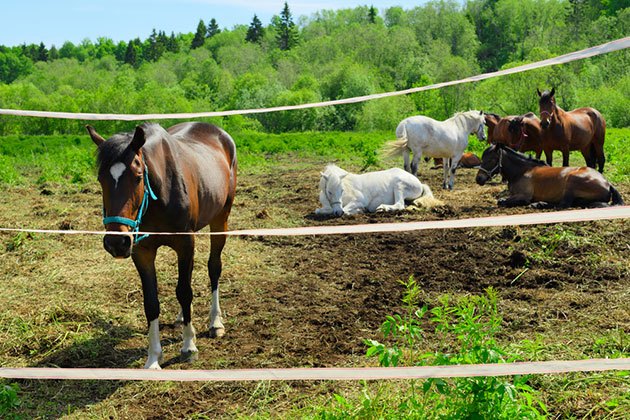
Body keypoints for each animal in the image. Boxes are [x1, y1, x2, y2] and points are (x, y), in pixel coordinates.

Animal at [87, 122, 238, 370]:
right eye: (101, 178)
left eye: (138, 176)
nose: (116, 242)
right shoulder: (142, 252)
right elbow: (151, 302)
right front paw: (153, 359)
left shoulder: (185, 244)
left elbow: (185, 292)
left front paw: (189, 346)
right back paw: (182, 317)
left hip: (220, 219)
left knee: (214, 267)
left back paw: (215, 322)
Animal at [316, 164, 444, 217]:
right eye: (329, 191)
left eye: (342, 190)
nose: (338, 212)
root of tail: (419, 183)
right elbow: (318, 211)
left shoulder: (359, 201)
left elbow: (347, 210)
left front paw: (359, 211)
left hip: (399, 185)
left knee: (399, 204)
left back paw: (382, 208)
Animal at [476, 144, 624, 208]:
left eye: (491, 160)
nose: (479, 179)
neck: (522, 171)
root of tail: (607, 183)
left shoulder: (524, 195)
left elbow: (502, 201)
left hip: (572, 180)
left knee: (564, 204)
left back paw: (539, 204)